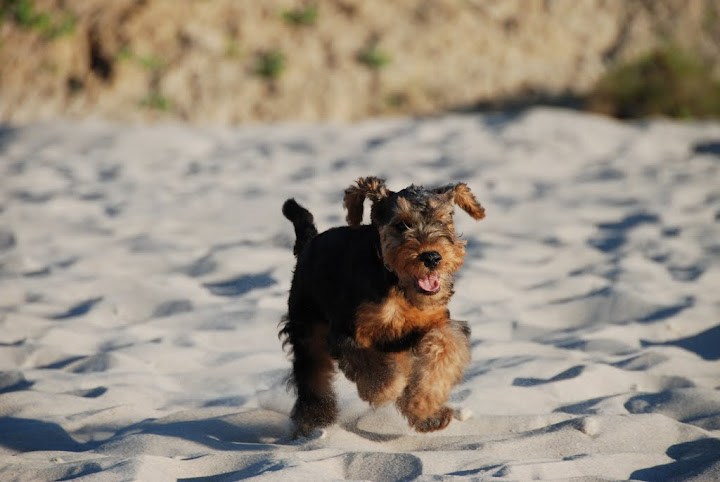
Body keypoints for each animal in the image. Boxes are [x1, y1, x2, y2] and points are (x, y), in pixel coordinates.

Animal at [279, 176, 485, 437]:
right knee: (313, 374)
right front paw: (384, 389)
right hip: (307, 326)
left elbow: (443, 350)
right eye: (401, 225)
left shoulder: (439, 323)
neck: (397, 284)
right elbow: (377, 369)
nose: (431, 257)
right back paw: (315, 420)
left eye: (442, 220)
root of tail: (308, 244)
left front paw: (424, 407)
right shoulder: (349, 332)